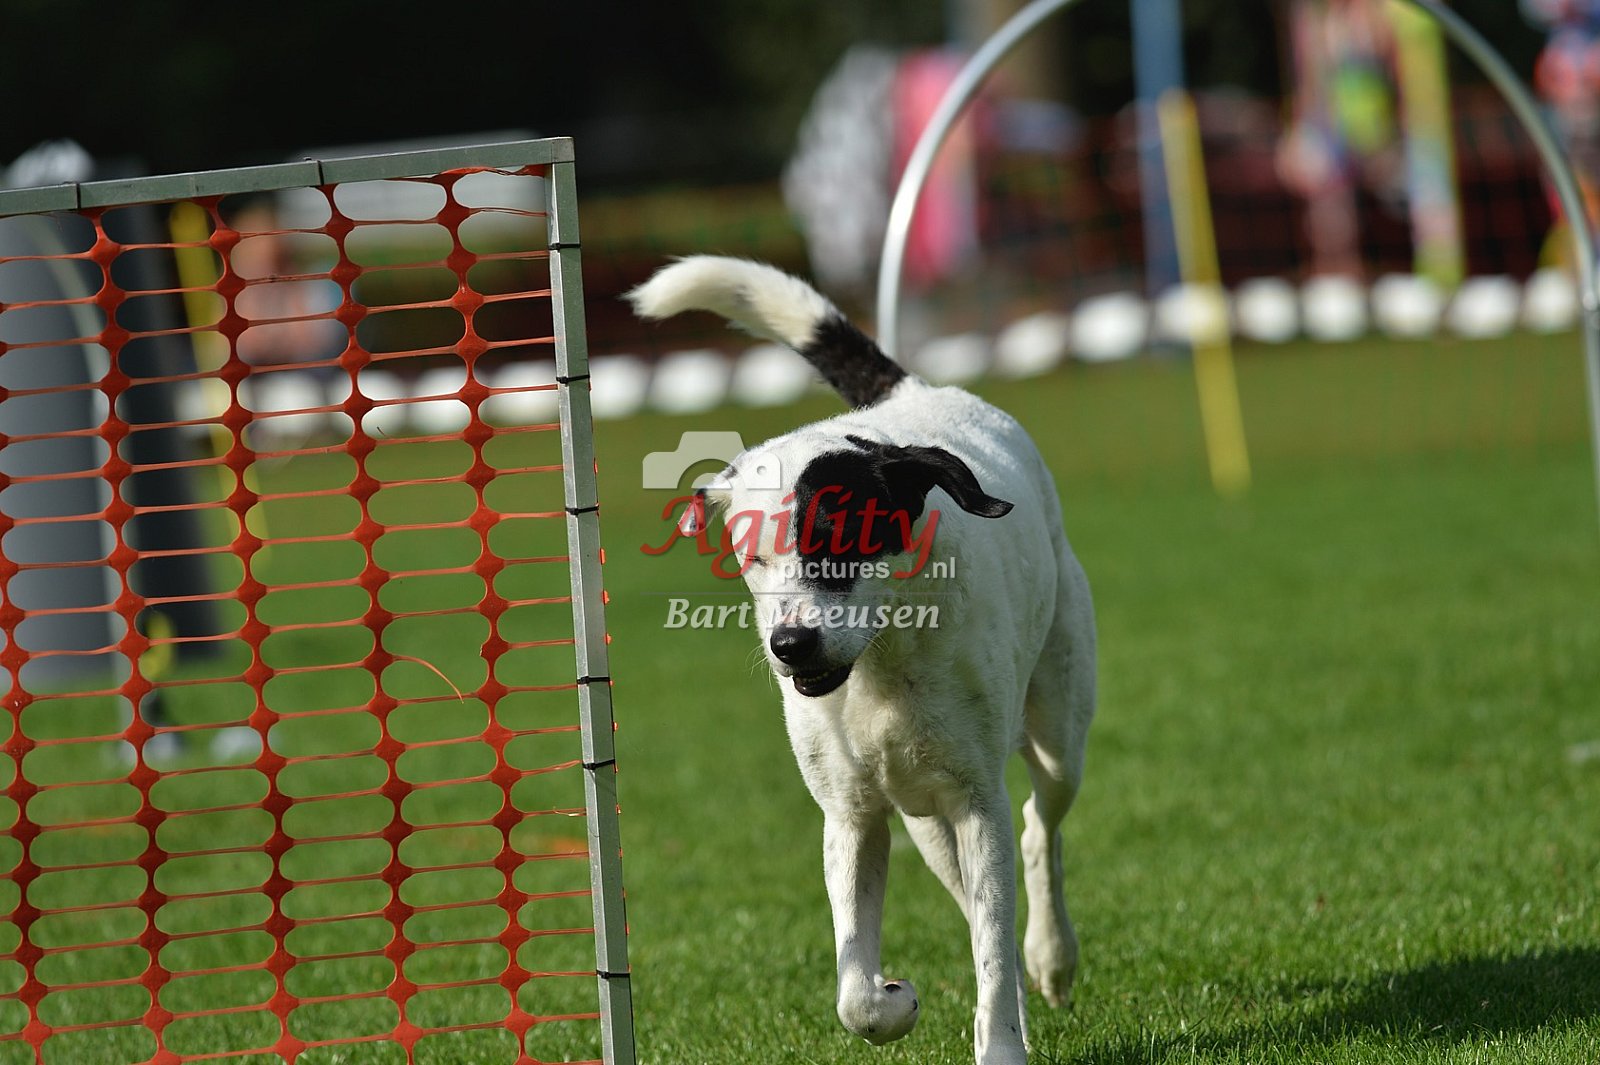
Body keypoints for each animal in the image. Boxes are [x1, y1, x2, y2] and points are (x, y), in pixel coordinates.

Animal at [629, 257, 1095, 1065]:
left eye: (840, 536)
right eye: (751, 554)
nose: (791, 645)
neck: (883, 664)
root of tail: (913, 396)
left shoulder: (977, 801)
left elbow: (995, 933)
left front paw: (1001, 1040)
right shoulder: (852, 814)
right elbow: (856, 989)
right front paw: (893, 1000)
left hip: (1059, 723)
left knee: (1040, 830)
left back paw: (1050, 956)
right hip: (926, 821)